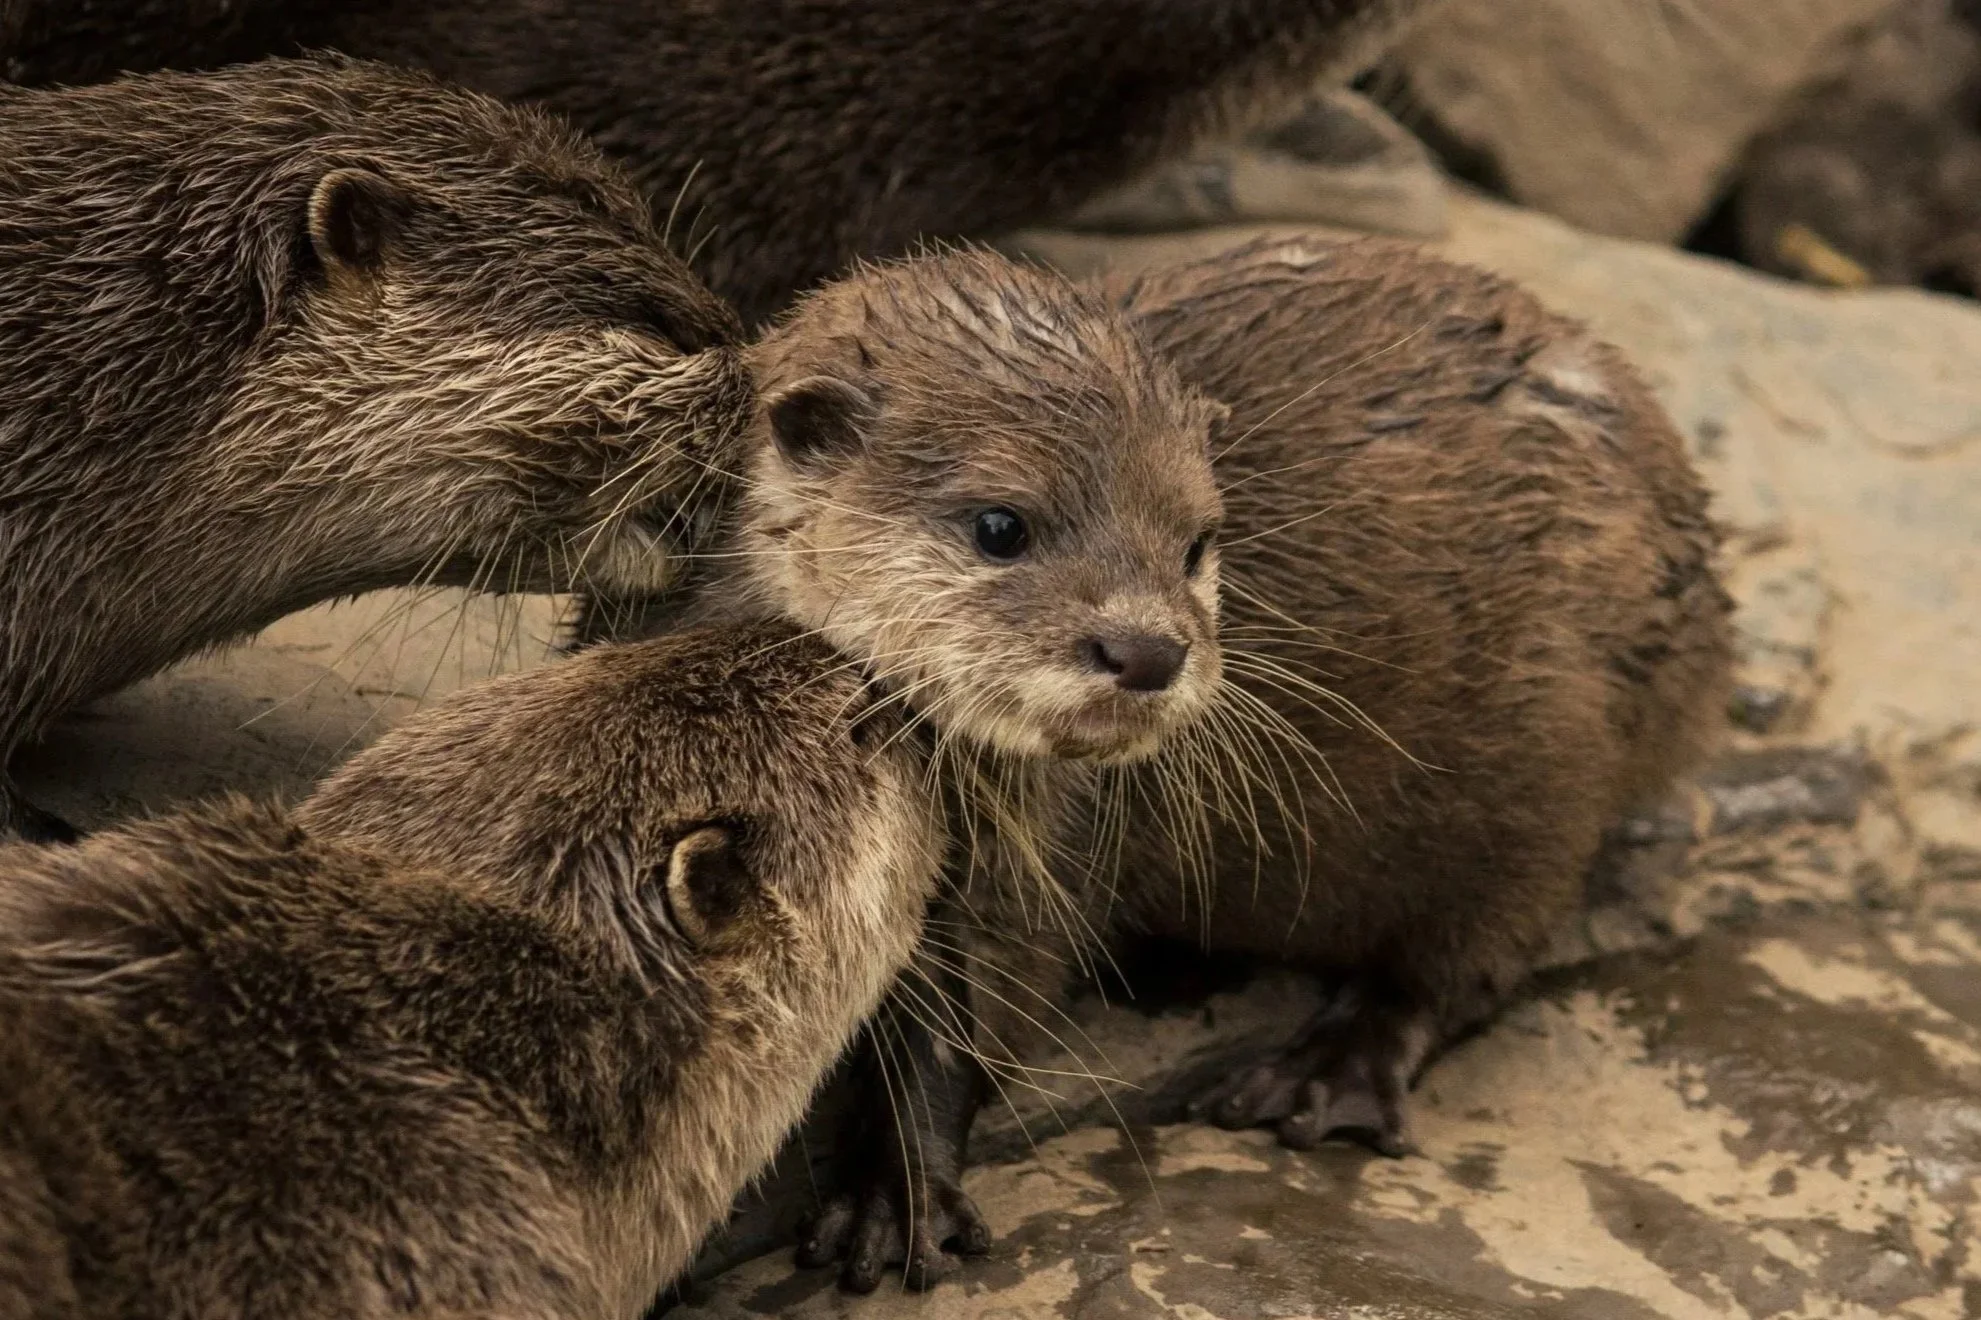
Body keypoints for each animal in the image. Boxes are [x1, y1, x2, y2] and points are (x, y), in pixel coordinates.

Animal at [606, 238, 1730, 1290]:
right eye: (1000, 525)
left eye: (1198, 541)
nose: (1147, 650)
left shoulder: (1046, 842)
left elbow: (979, 1013)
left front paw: (896, 1194)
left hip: (1554, 758)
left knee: (1472, 955)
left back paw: (1326, 1073)